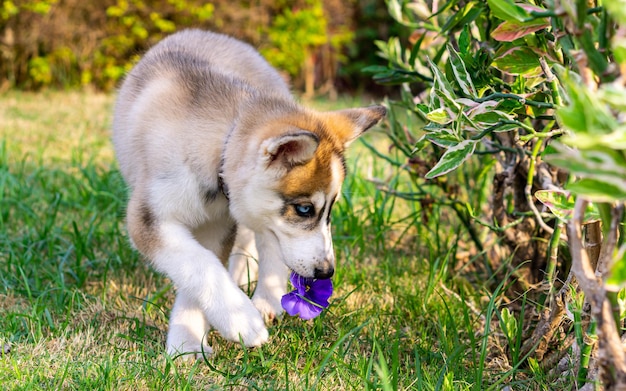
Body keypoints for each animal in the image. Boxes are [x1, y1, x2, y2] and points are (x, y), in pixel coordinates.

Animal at [112, 29, 386, 356]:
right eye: (305, 209)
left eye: (330, 210)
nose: (326, 272)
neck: (222, 145)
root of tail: (215, 34)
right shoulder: (149, 218)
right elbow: (198, 264)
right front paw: (231, 322)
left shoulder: (218, 223)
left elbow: (205, 264)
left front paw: (191, 335)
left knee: (264, 244)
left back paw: (266, 298)